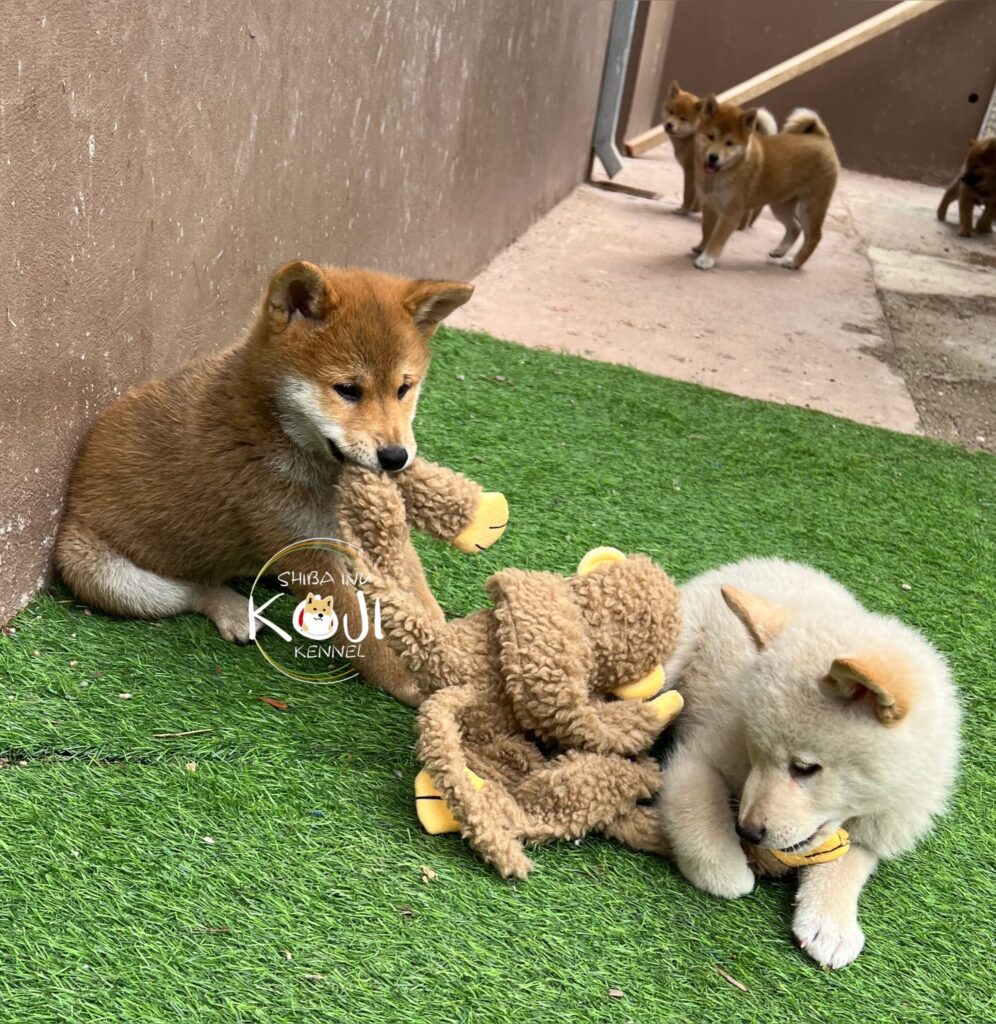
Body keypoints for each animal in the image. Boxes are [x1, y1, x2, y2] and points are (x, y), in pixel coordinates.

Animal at [54, 262, 505, 704]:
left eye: (404, 388)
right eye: (347, 390)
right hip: (99, 571)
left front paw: (446, 647)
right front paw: (410, 680)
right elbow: (359, 631)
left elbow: (419, 595)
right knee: (195, 588)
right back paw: (236, 610)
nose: (396, 457)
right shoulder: (302, 548)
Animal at [655, 561, 958, 966]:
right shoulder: (698, 755)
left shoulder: (876, 827)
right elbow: (697, 809)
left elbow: (848, 865)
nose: (747, 832)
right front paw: (722, 866)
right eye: (755, 753)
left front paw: (830, 921)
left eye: (804, 768)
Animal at [691, 96, 839, 268]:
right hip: (780, 206)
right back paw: (779, 251)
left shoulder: (732, 212)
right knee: (795, 228)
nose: (713, 157)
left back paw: (794, 262)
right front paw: (702, 247)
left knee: (814, 237)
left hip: (809, 208)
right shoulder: (709, 205)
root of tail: (822, 138)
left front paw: (707, 259)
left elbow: (717, 238)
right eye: (710, 136)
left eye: (729, 143)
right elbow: (707, 230)